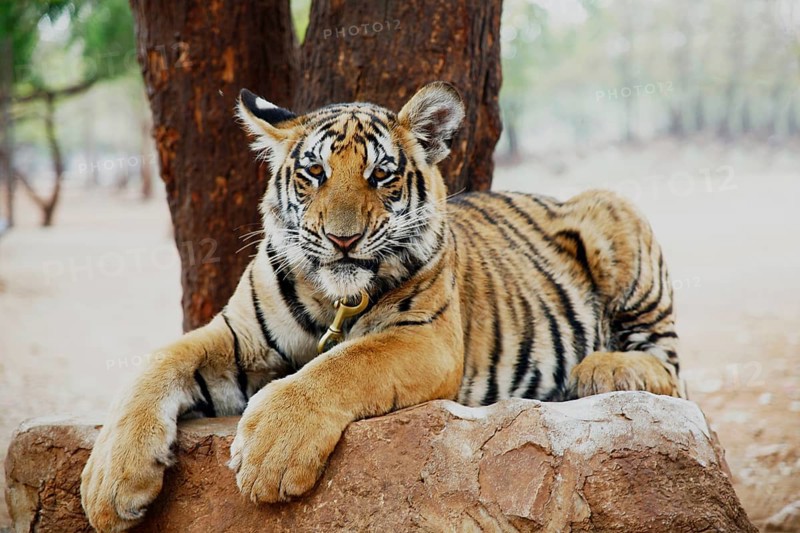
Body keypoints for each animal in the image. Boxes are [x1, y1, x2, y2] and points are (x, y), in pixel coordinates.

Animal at [80, 81, 685, 532]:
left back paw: (605, 369)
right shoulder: (240, 335)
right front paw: (108, 482)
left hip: (612, 212)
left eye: (381, 176)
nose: (342, 239)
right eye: (314, 173)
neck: (333, 297)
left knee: (671, 370)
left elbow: (342, 364)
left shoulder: (425, 337)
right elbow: (159, 360)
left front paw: (272, 450)